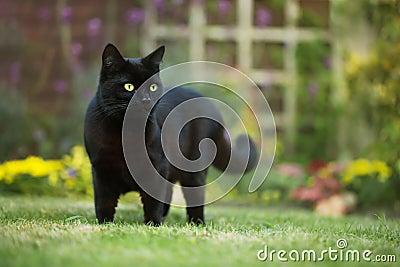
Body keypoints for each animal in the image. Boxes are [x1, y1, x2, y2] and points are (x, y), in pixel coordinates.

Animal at [85, 44, 258, 226]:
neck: (126, 133)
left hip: (194, 170)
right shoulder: (100, 168)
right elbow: (104, 202)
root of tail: (207, 101)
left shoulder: (157, 165)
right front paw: (105, 224)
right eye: (129, 87)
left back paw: (197, 223)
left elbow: (153, 200)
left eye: (152, 87)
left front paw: (153, 225)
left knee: (194, 198)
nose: (146, 99)